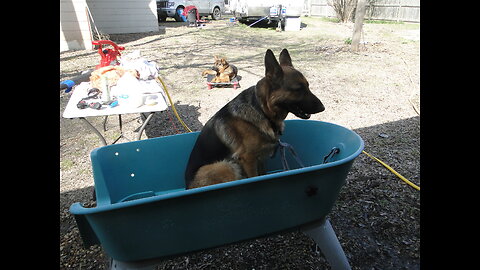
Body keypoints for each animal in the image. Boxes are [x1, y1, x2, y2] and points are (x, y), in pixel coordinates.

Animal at [186, 48, 324, 189]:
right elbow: (254, 178)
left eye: (308, 86)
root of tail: (187, 187)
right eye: (298, 89)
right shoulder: (248, 159)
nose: (322, 107)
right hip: (226, 165)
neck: (262, 110)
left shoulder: (260, 158)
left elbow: (262, 175)